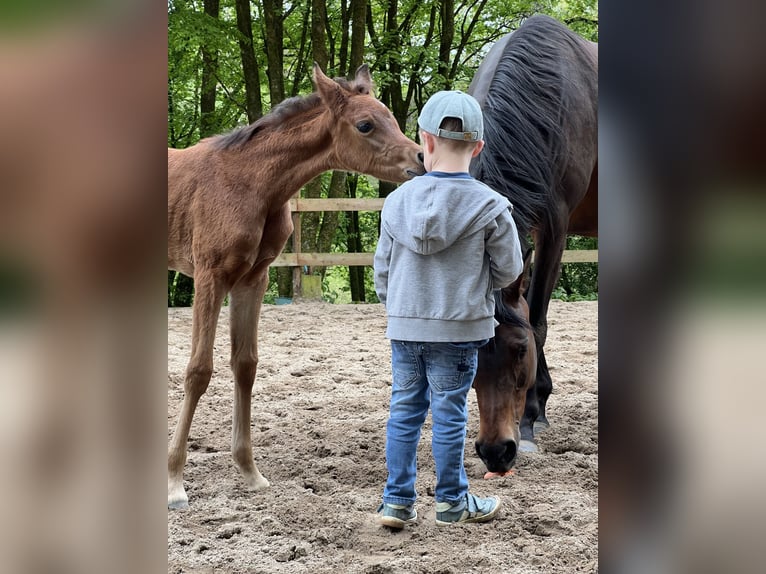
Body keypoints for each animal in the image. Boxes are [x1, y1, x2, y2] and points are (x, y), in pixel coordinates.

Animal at [167, 65, 426, 510]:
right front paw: (174, 482)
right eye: (365, 124)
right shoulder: (209, 275)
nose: (420, 159)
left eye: (392, 118)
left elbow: (245, 365)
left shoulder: (253, 278)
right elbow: (199, 371)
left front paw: (250, 472)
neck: (249, 183)